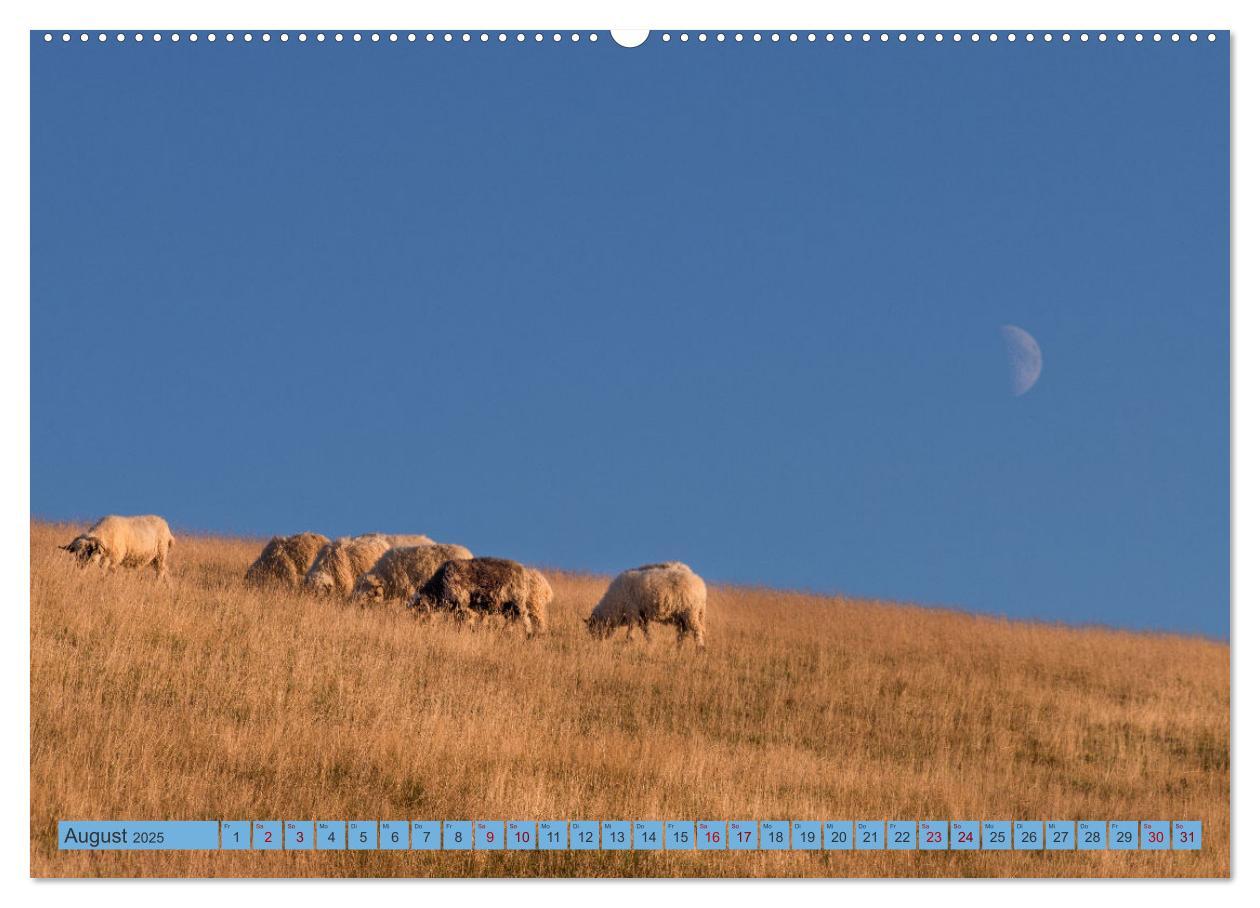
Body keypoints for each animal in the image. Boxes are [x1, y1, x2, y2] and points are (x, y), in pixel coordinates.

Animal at [408, 551, 551, 637]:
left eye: (419, 611)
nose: (417, 628)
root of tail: (523, 571)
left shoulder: (462, 604)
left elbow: (463, 621)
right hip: (508, 607)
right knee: (513, 620)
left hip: (518, 602)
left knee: (525, 618)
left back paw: (529, 634)